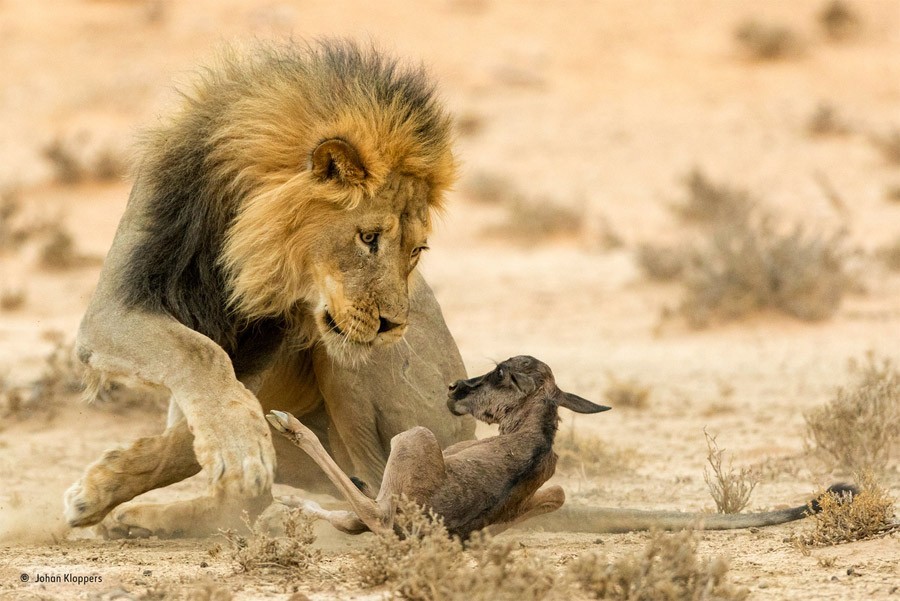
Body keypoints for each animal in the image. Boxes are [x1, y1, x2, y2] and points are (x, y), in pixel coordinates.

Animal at [64, 43, 478, 540]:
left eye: (415, 250)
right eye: (368, 237)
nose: (393, 325)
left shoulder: (262, 345)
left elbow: (201, 402)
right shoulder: (115, 308)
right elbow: (199, 355)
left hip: (356, 369)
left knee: (376, 486)